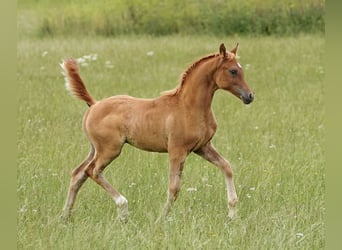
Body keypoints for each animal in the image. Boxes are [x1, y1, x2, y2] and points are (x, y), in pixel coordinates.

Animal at [60, 42, 254, 222]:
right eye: (233, 71)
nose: (250, 96)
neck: (189, 107)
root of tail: (94, 104)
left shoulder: (203, 147)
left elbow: (227, 167)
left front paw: (232, 214)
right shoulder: (177, 150)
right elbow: (174, 187)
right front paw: (161, 218)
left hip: (95, 149)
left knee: (78, 173)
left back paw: (65, 216)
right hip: (110, 149)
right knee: (92, 171)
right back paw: (123, 208)